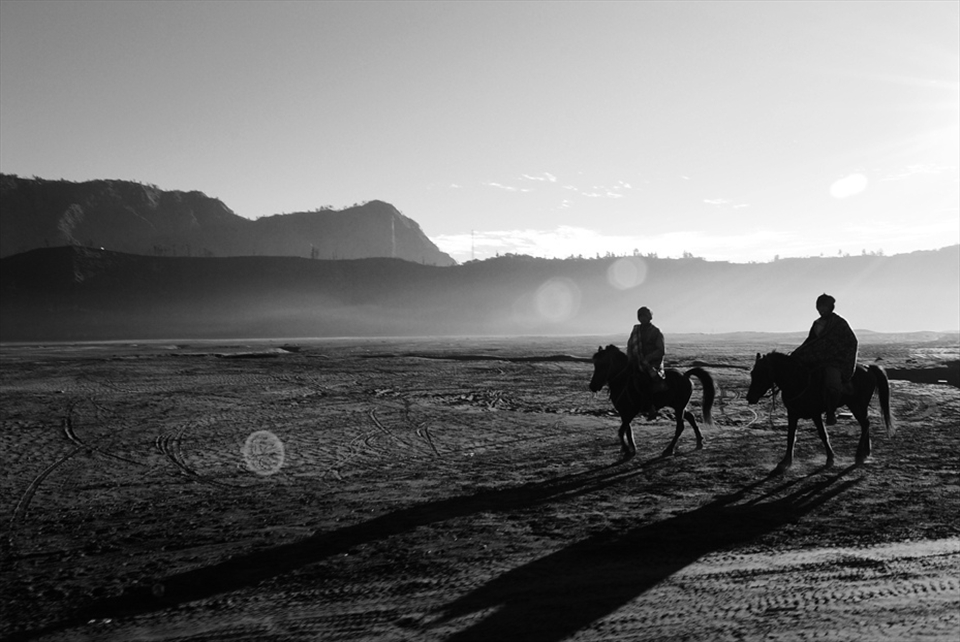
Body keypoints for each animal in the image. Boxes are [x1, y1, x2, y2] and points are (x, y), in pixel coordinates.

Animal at [745, 351, 894, 472]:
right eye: (752, 373)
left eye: (761, 373)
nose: (750, 397)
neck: (797, 381)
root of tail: (868, 368)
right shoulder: (792, 414)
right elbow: (791, 436)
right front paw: (785, 462)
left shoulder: (815, 414)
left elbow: (823, 435)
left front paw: (830, 459)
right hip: (860, 406)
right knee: (865, 424)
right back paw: (865, 452)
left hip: (857, 405)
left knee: (865, 424)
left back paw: (858, 455)